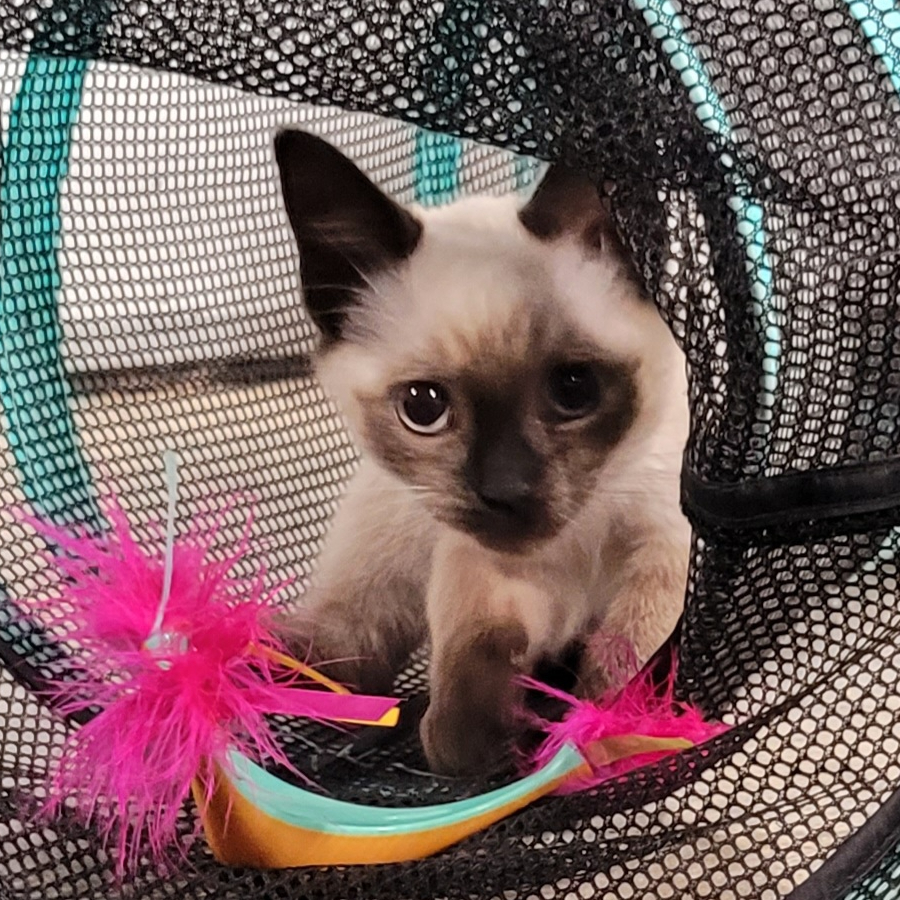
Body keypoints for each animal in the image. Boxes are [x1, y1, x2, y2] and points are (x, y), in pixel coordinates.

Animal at [274, 129, 690, 776]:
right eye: (423, 408)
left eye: (575, 389)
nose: (506, 490)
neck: (576, 542)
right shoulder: (488, 567)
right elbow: (470, 669)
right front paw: (479, 748)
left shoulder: (665, 549)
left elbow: (623, 661)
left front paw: (600, 729)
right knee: (342, 652)